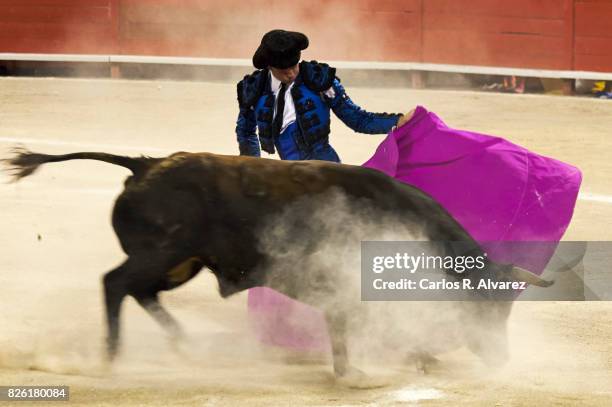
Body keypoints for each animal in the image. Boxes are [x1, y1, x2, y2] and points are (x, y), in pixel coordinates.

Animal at [3, 149, 548, 380]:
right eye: (486, 307)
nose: (502, 357)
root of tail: (146, 164)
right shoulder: (345, 292)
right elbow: (349, 333)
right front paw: (353, 374)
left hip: (182, 263)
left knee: (141, 292)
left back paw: (185, 347)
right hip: (162, 254)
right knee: (115, 284)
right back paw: (112, 357)